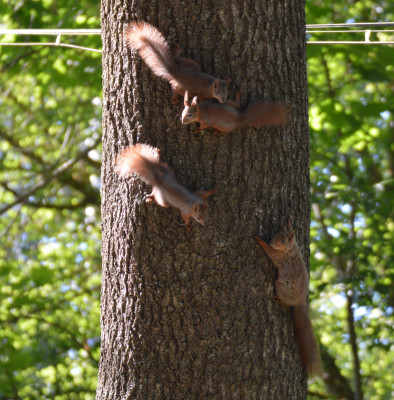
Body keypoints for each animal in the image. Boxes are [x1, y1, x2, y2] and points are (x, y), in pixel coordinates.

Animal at [254, 219, 322, 376]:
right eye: (276, 233)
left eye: (284, 240)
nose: (272, 242)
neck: (291, 249)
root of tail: (299, 301)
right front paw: (289, 223)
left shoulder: (279, 256)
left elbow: (270, 252)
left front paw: (262, 242)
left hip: (280, 285)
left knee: (286, 302)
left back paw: (280, 299)